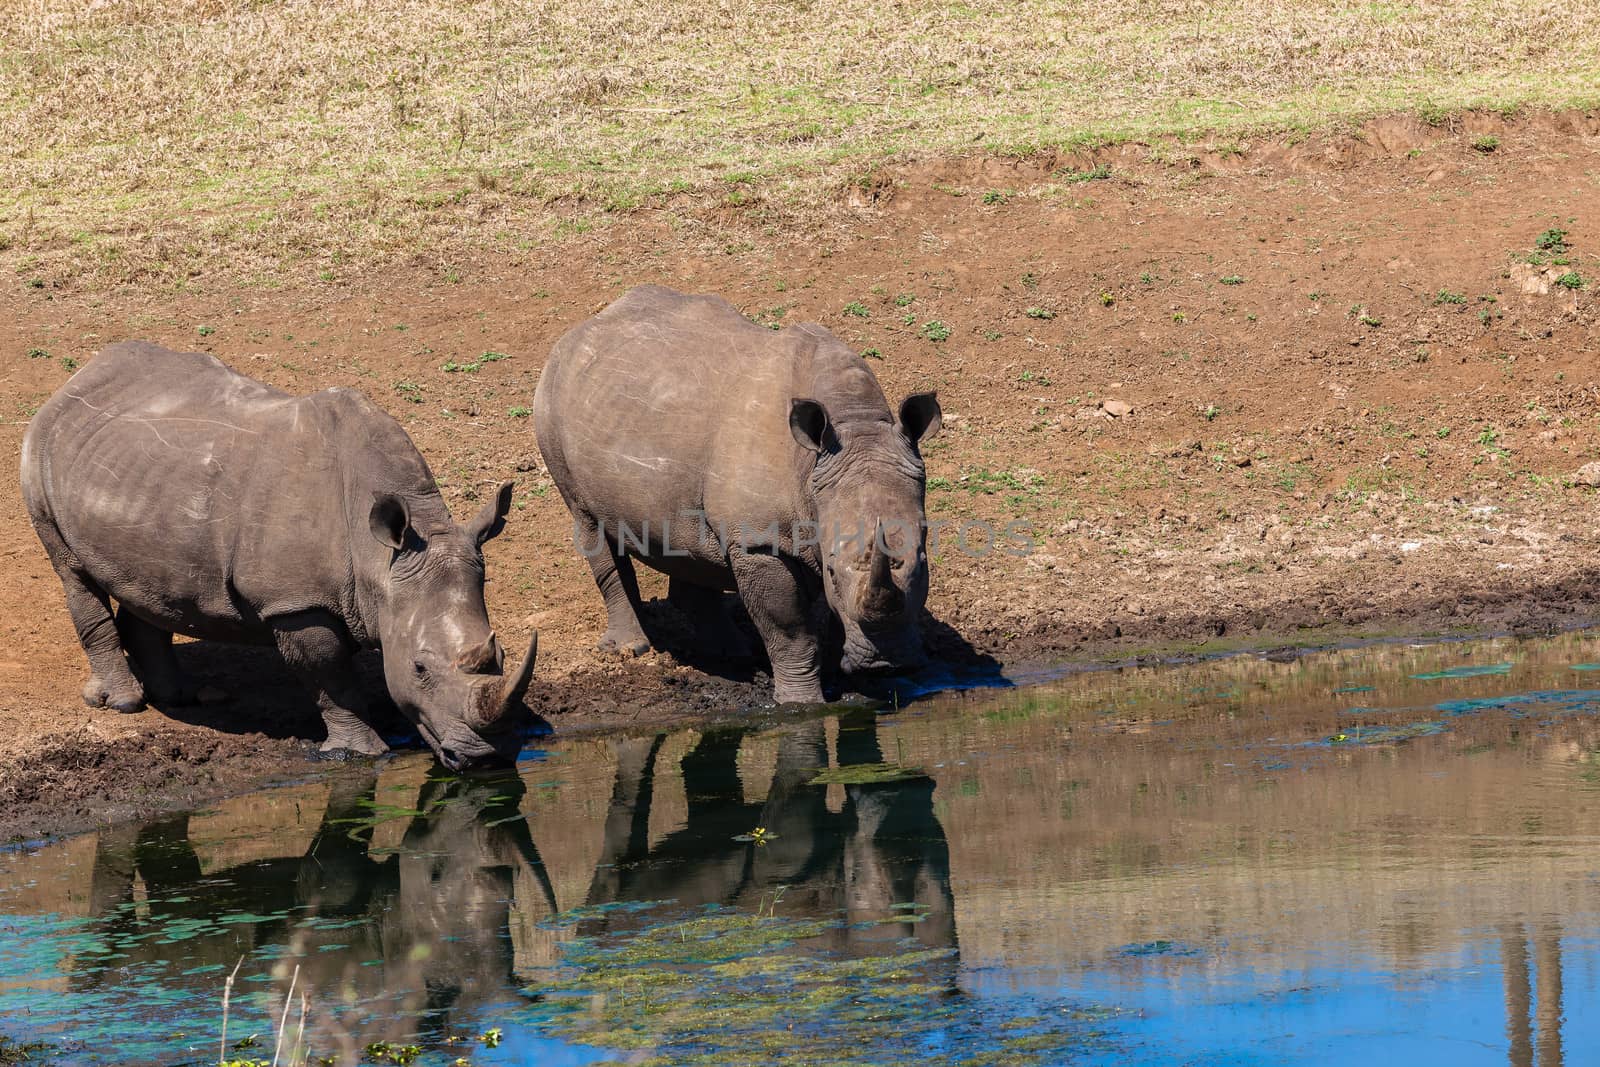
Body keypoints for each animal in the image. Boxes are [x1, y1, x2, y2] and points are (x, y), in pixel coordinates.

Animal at [20, 342, 537, 767]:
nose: (480, 757)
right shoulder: (294, 602)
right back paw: (124, 703)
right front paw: (360, 752)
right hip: (40, 453)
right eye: (419, 669)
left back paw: (182, 697)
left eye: (502, 654)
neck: (381, 560)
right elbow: (332, 677)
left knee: (147, 581)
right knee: (73, 571)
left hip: (137, 475)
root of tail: (77, 378)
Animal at [537, 283, 934, 703]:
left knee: (689, 538)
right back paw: (631, 648)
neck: (855, 425)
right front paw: (802, 702)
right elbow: (790, 627)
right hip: (551, 404)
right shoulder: (760, 540)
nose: (887, 664)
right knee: (589, 523)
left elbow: (816, 615)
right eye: (830, 567)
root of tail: (581, 327)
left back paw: (730, 655)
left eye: (923, 562)